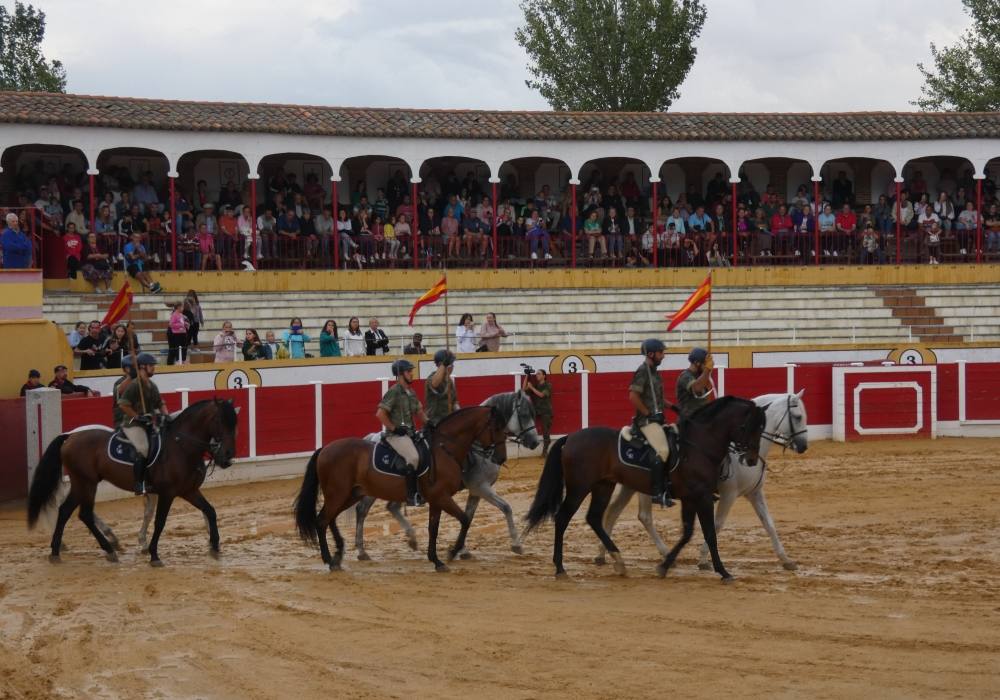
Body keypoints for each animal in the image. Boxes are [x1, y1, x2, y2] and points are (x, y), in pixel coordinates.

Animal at [27, 396, 240, 568]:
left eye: (235, 424)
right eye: (219, 421)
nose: (227, 456)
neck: (181, 446)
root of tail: (70, 436)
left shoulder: (188, 491)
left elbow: (210, 511)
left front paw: (215, 547)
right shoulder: (168, 493)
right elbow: (160, 521)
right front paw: (154, 555)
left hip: (82, 483)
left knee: (66, 511)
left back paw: (57, 551)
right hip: (86, 482)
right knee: (84, 513)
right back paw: (108, 548)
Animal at [294, 404, 500, 576]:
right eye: (496, 427)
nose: (496, 456)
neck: (444, 448)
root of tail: (325, 448)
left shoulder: (437, 500)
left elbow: (434, 528)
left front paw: (437, 560)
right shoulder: (441, 497)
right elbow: (464, 519)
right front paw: (451, 552)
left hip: (350, 494)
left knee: (331, 518)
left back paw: (338, 554)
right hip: (338, 494)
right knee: (322, 520)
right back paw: (330, 560)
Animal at [524, 396, 764, 584]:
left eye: (761, 428)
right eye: (746, 427)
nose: (752, 459)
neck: (698, 446)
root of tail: (571, 437)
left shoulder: (690, 498)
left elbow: (687, 533)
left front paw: (664, 565)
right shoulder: (701, 497)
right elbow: (710, 534)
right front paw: (723, 571)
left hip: (603, 486)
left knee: (594, 518)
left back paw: (619, 561)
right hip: (578, 488)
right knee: (563, 518)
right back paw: (560, 568)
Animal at [596, 392, 808, 572]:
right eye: (798, 417)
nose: (804, 446)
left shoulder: (754, 493)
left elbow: (769, 523)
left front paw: (786, 560)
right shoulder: (728, 495)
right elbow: (717, 524)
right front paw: (704, 559)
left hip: (628, 486)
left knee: (612, 512)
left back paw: (604, 555)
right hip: (645, 490)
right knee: (644, 516)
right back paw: (662, 553)